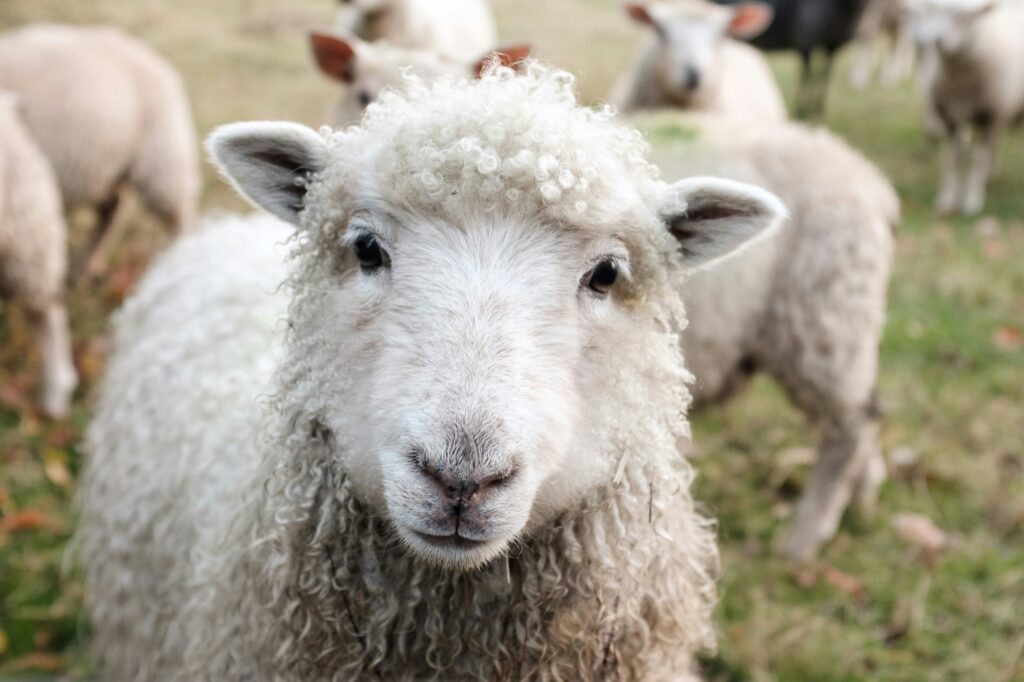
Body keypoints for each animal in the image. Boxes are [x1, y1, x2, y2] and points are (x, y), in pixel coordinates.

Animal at [713, 0, 872, 117]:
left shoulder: (833, 46)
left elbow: (825, 76)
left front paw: (819, 108)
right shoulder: (805, 42)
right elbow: (807, 76)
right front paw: (802, 109)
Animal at [906, 0, 1024, 215]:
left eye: (966, 16)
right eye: (936, 11)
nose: (936, 41)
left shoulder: (990, 117)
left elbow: (978, 159)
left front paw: (972, 200)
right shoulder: (949, 116)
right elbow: (953, 158)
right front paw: (948, 199)